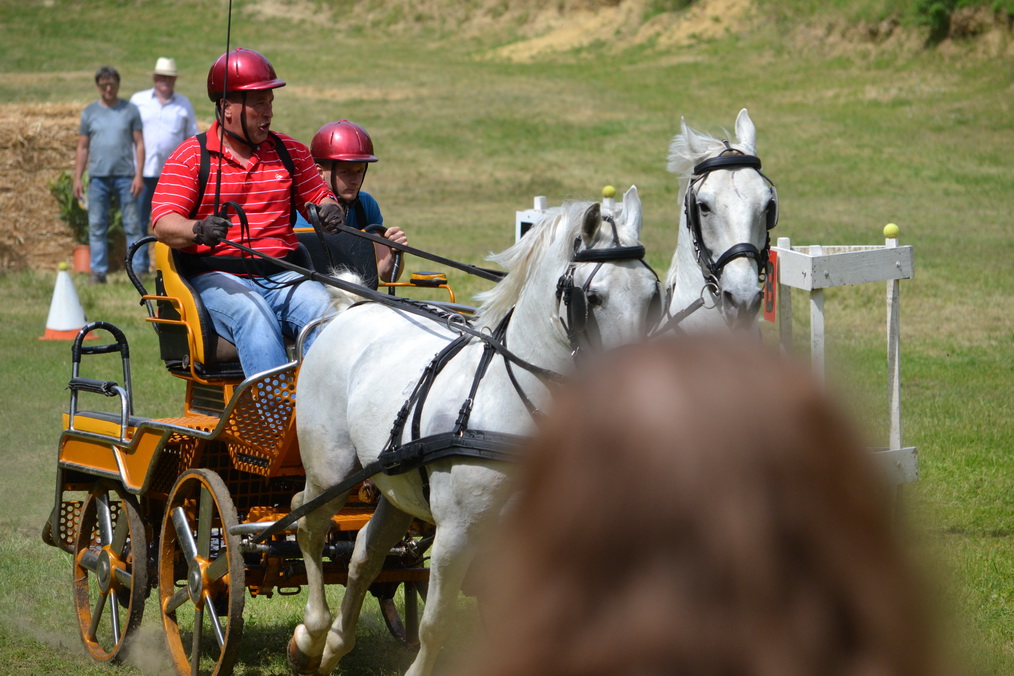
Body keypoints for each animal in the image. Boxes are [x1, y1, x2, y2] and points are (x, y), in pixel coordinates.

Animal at [288, 186, 661, 676]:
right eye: (592, 298)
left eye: (654, 295)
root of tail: (356, 307)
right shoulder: (456, 534)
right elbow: (435, 625)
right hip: (331, 470)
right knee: (307, 525)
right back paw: (311, 635)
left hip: (396, 485)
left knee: (365, 552)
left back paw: (335, 644)